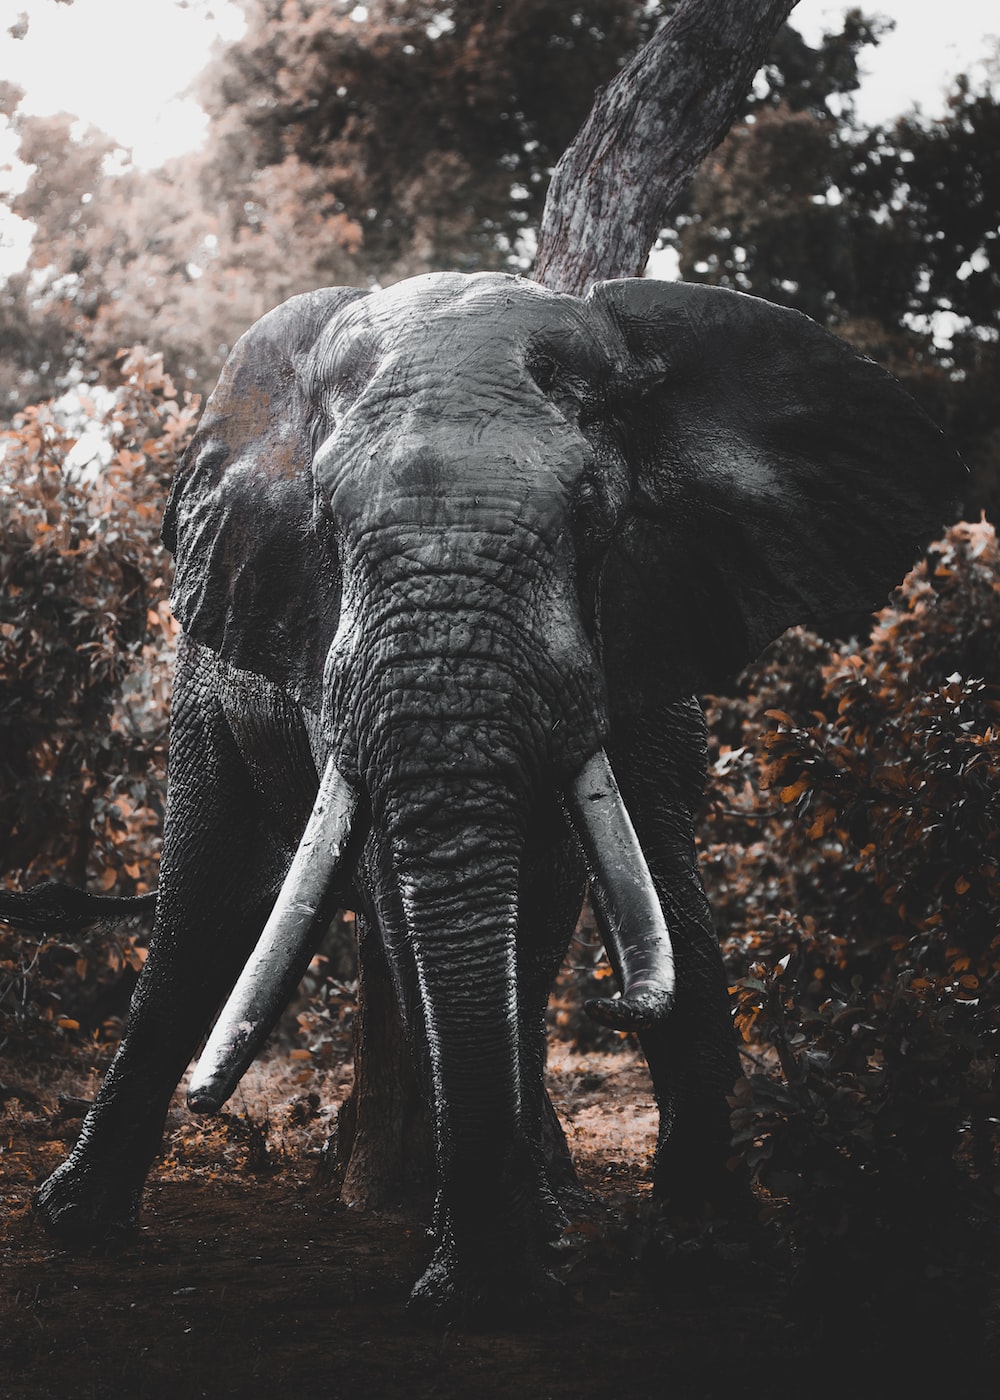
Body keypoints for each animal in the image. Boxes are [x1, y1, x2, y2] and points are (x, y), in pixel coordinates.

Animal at [25, 271, 962, 1320]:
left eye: (593, 516)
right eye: (328, 528)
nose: (618, 1005)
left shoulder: (653, 621)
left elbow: (669, 883)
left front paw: (708, 1256)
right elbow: (399, 892)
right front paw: (486, 1281)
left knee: (533, 928)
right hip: (206, 694)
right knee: (205, 918)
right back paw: (77, 1224)